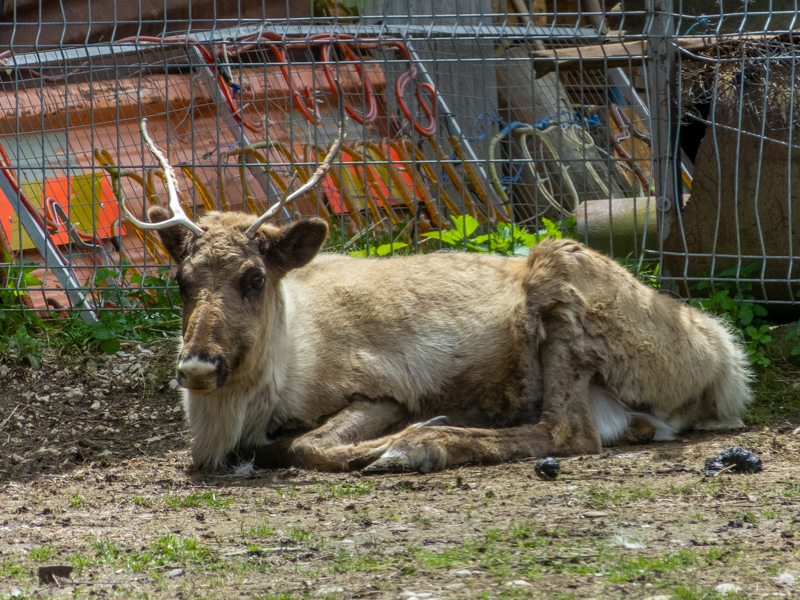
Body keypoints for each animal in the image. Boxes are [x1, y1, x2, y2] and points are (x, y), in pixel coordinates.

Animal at [123, 97, 752, 474]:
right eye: (180, 280)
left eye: (254, 278)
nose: (197, 366)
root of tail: (722, 356)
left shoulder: (379, 390)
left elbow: (308, 444)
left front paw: (404, 438)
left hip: (561, 280)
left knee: (567, 431)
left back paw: (422, 446)